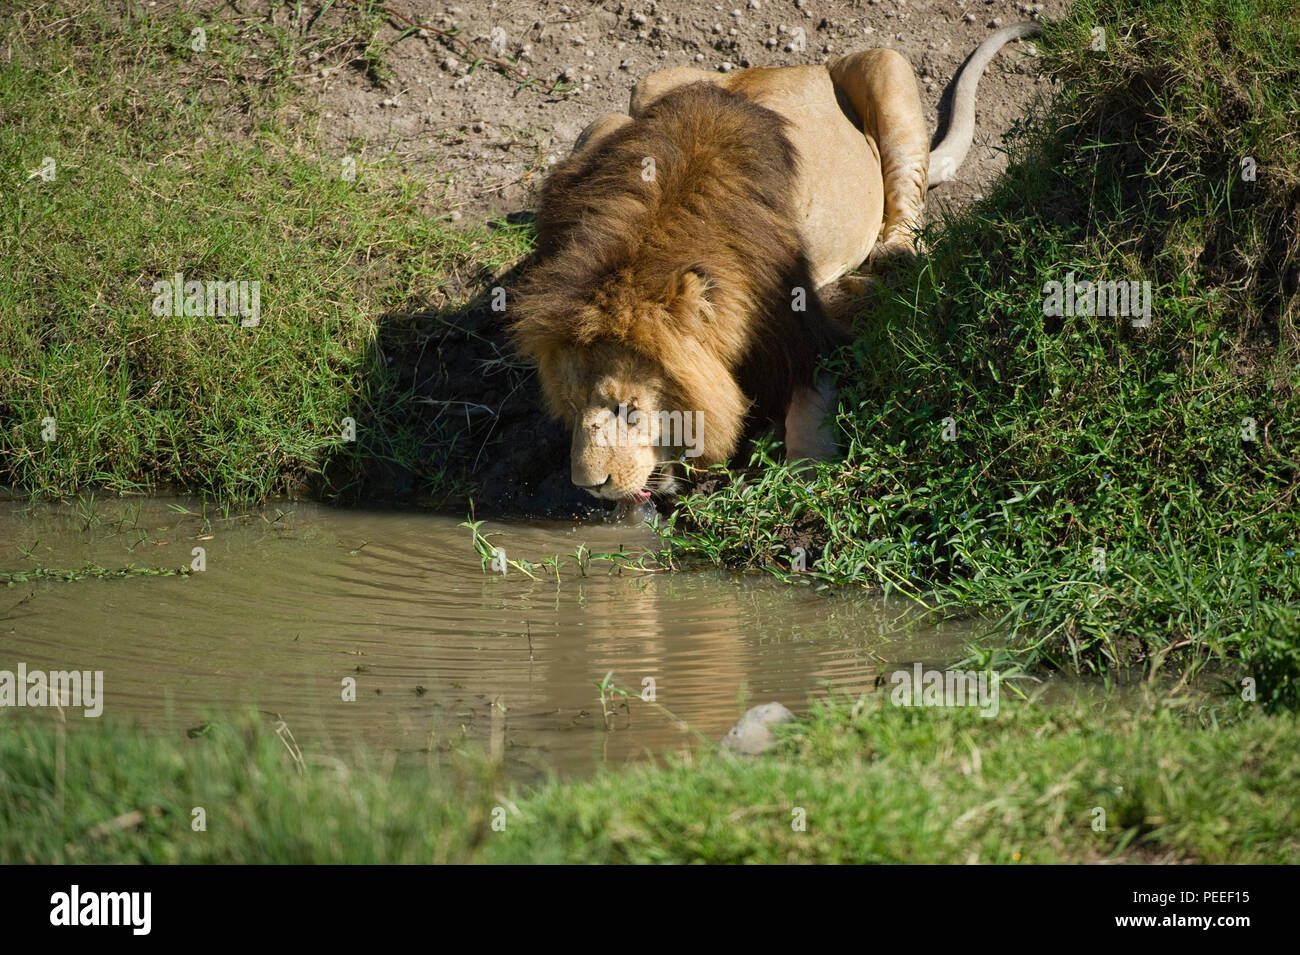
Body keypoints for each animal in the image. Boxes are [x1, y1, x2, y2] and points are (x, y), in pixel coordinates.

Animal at [509, 20, 1045, 509]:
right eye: (572, 405)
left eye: (629, 410)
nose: (590, 487)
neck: (654, 231)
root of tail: (794, 65)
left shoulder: (806, 322)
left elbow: (810, 404)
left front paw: (803, 478)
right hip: (641, 92)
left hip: (884, 65)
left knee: (906, 197)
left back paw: (892, 255)